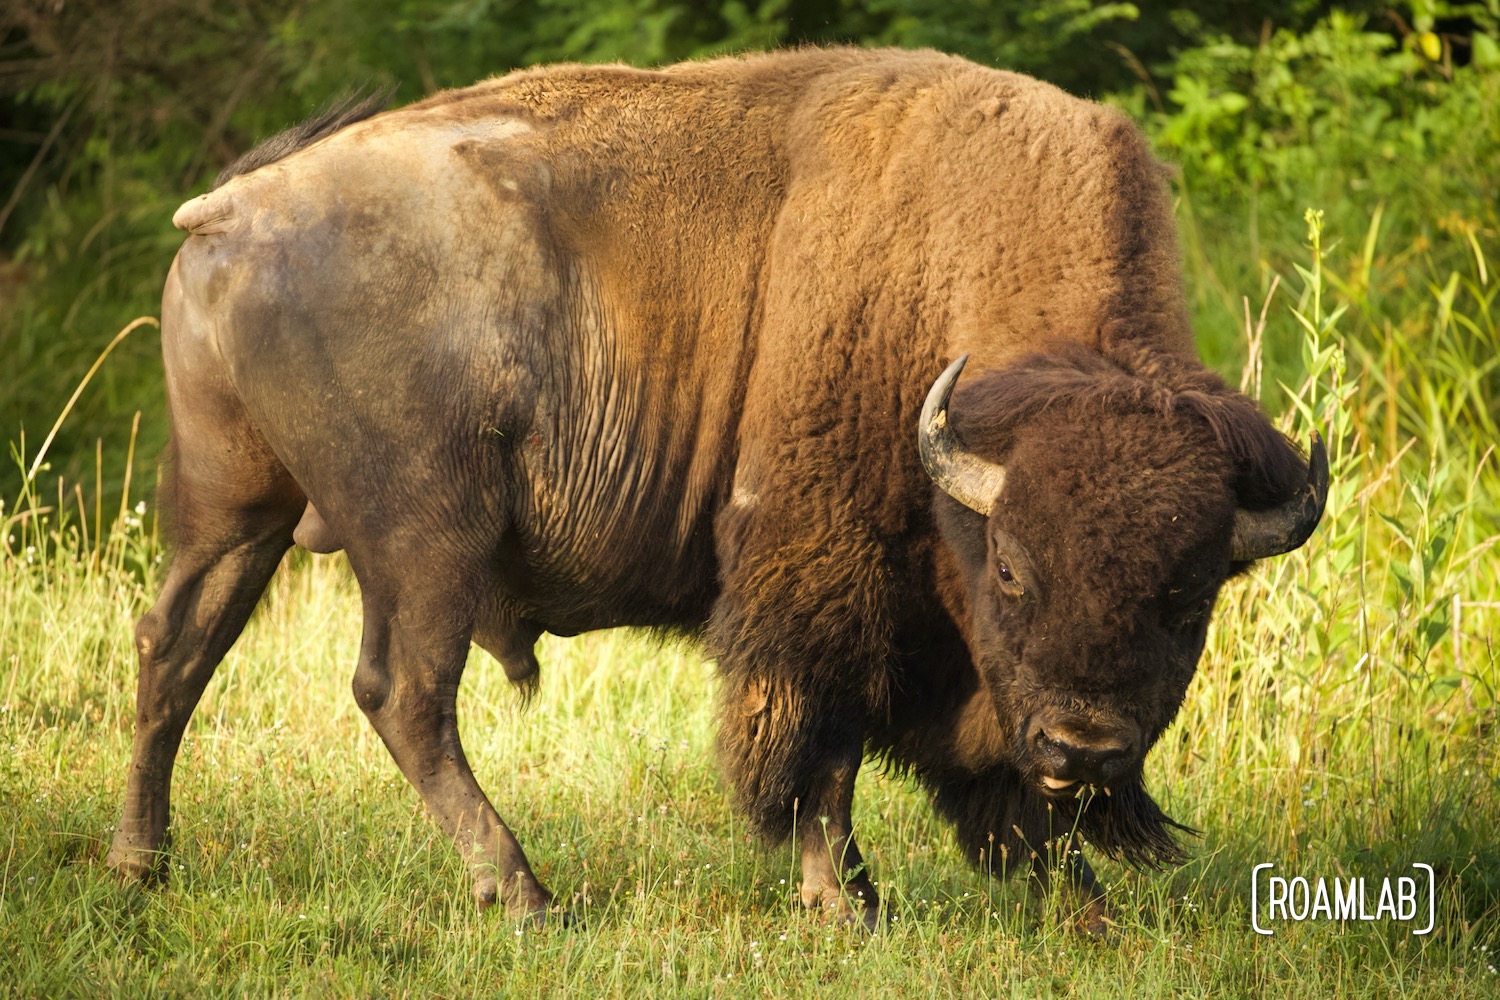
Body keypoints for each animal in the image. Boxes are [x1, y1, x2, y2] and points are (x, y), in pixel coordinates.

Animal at [108, 47, 1326, 932]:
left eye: (1190, 597)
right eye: (1016, 569)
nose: (1085, 746)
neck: (944, 280)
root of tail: (231, 207)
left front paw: (1083, 906)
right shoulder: (824, 577)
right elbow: (819, 747)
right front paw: (847, 906)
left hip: (237, 511)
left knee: (177, 649)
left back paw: (141, 864)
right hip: (427, 537)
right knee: (402, 694)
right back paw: (527, 895)